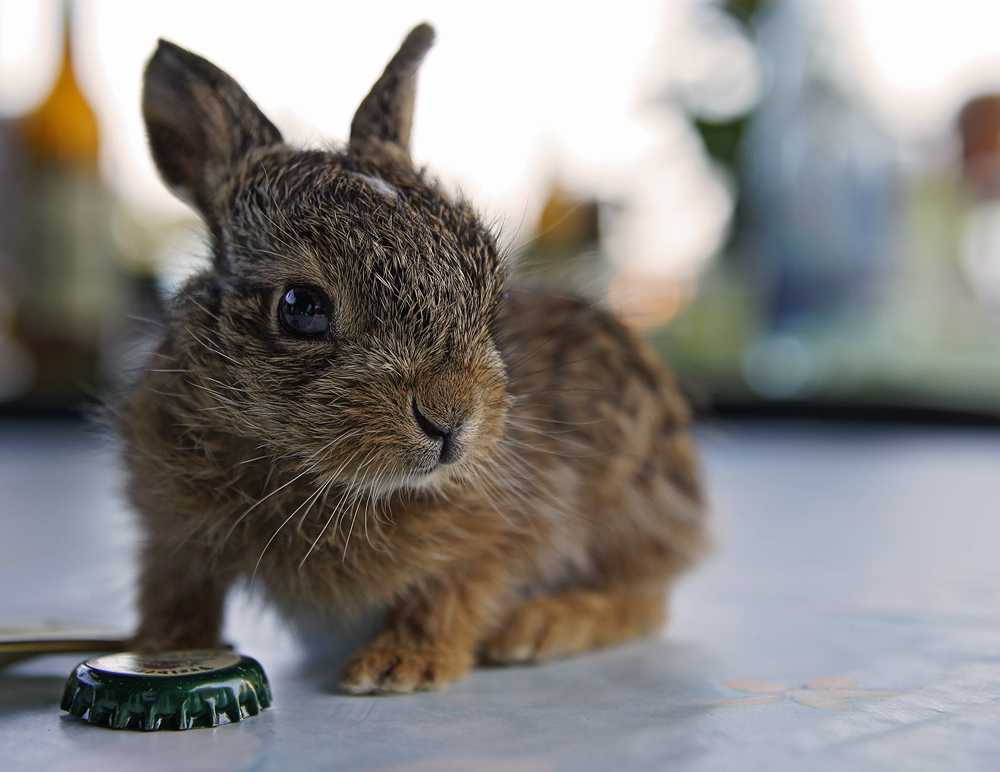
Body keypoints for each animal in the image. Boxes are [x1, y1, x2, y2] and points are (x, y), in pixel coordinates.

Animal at [121, 22, 708, 692]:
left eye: (490, 291)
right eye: (300, 307)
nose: (451, 418)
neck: (309, 471)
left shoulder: (498, 533)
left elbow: (452, 592)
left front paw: (399, 666)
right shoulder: (171, 532)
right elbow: (176, 592)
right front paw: (160, 650)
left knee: (642, 596)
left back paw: (543, 626)